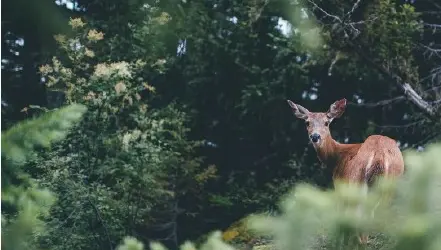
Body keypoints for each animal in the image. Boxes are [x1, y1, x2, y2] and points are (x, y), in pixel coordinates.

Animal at [288, 97, 404, 244]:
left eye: (326, 123)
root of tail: (379, 156)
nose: (315, 137)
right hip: (391, 184)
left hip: (357, 182)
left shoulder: (339, 184)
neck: (337, 157)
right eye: (307, 122)